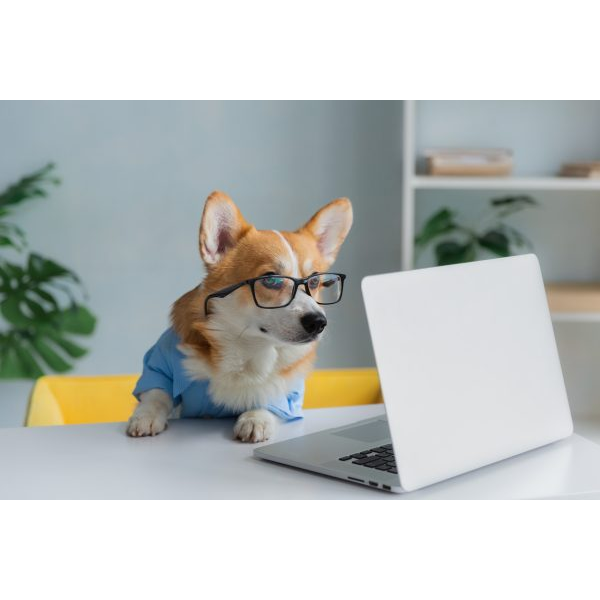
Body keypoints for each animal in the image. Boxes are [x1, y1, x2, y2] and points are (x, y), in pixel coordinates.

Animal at [126, 192, 352, 440]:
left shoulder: (289, 392)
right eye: (271, 279)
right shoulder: (158, 365)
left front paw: (255, 419)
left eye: (314, 281)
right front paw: (145, 416)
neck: (247, 346)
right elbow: (157, 393)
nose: (318, 322)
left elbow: (271, 397)